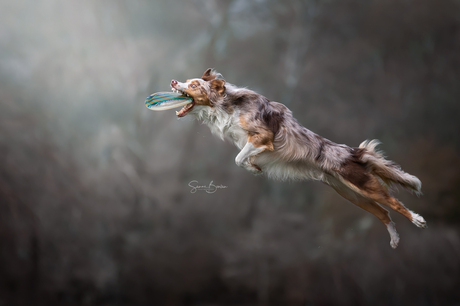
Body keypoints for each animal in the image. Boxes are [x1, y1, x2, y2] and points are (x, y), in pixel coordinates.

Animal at [170, 68, 428, 249]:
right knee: (383, 212)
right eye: (187, 80)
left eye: (194, 84)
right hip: (351, 194)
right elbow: (241, 158)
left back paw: (417, 219)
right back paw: (394, 239)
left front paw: (253, 168)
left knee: (393, 202)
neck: (226, 106)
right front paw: (254, 167)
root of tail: (354, 151)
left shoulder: (263, 137)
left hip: (363, 185)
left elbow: (238, 157)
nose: (173, 82)